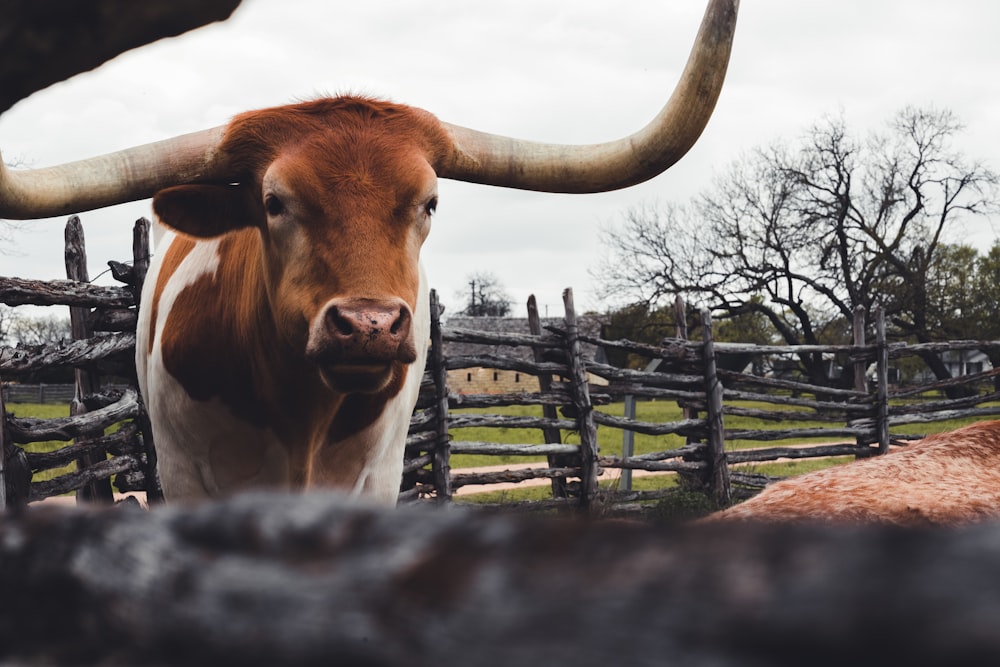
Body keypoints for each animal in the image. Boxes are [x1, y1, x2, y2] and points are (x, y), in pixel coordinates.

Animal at [0, 0, 736, 500]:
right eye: (273, 202)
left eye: (430, 202)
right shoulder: (190, 478)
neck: (298, 417)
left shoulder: (372, 478)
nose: (369, 325)